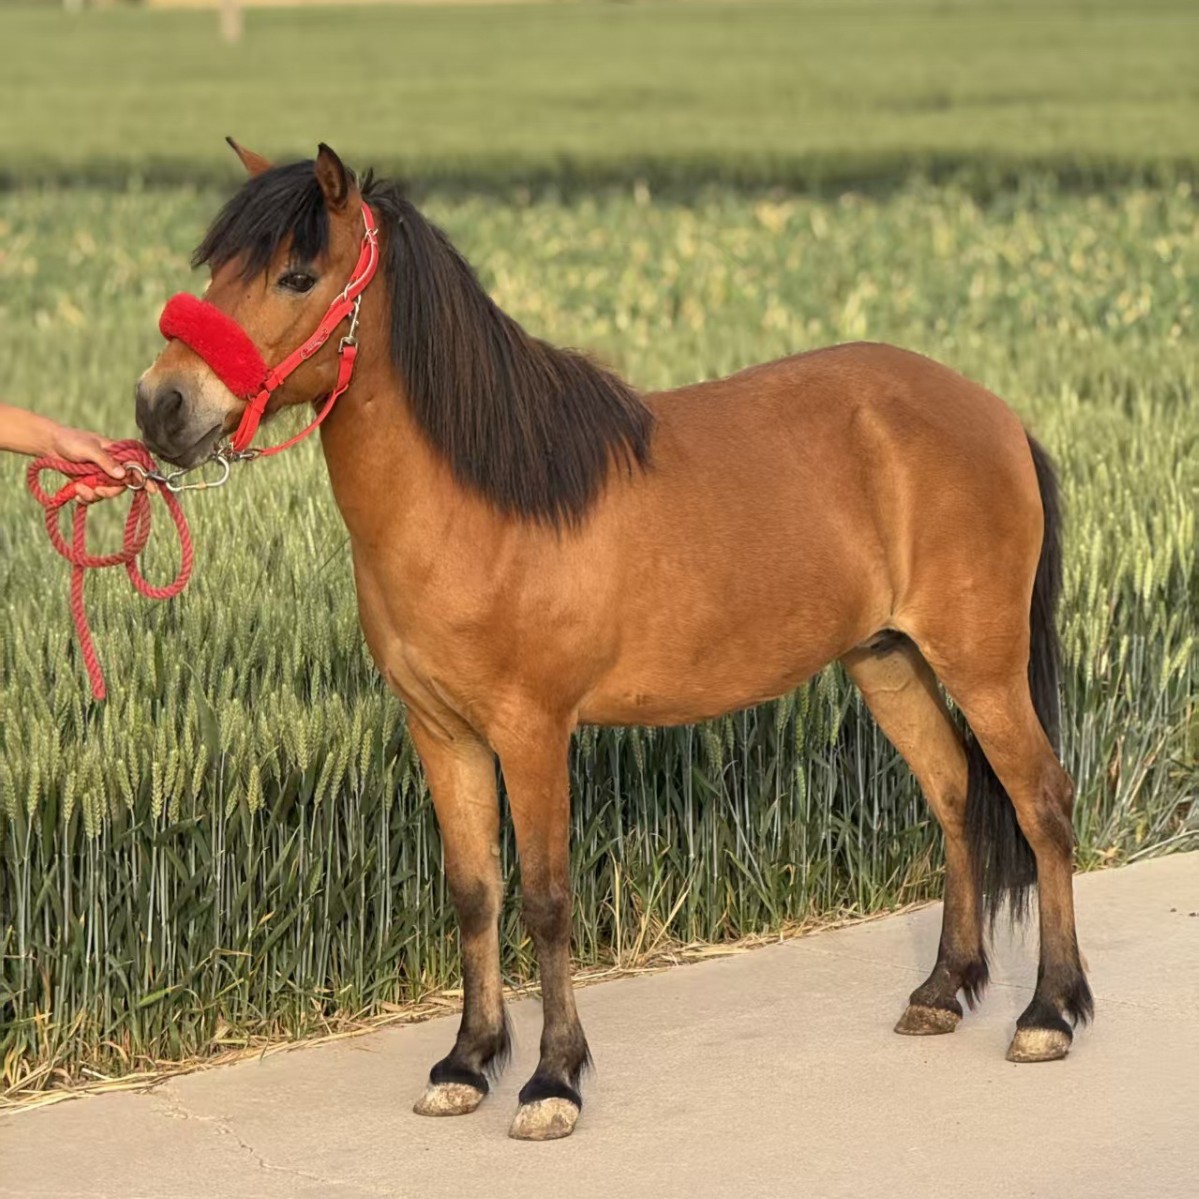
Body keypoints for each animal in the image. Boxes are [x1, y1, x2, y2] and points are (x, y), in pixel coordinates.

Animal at [135, 141, 1093, 1141]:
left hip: (981, 665)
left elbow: (547, 900)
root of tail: (994, 414)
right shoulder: (440, 732)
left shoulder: (533, 730)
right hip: (888, 660)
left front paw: (551, 1080)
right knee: (953, 793)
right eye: (216, 265)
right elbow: (474, 891)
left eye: (296, 273)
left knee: (1041, 801)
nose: (161, 405)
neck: (482, 498)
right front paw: (466, 1062)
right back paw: (942, 990)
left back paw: (1047, 1013)